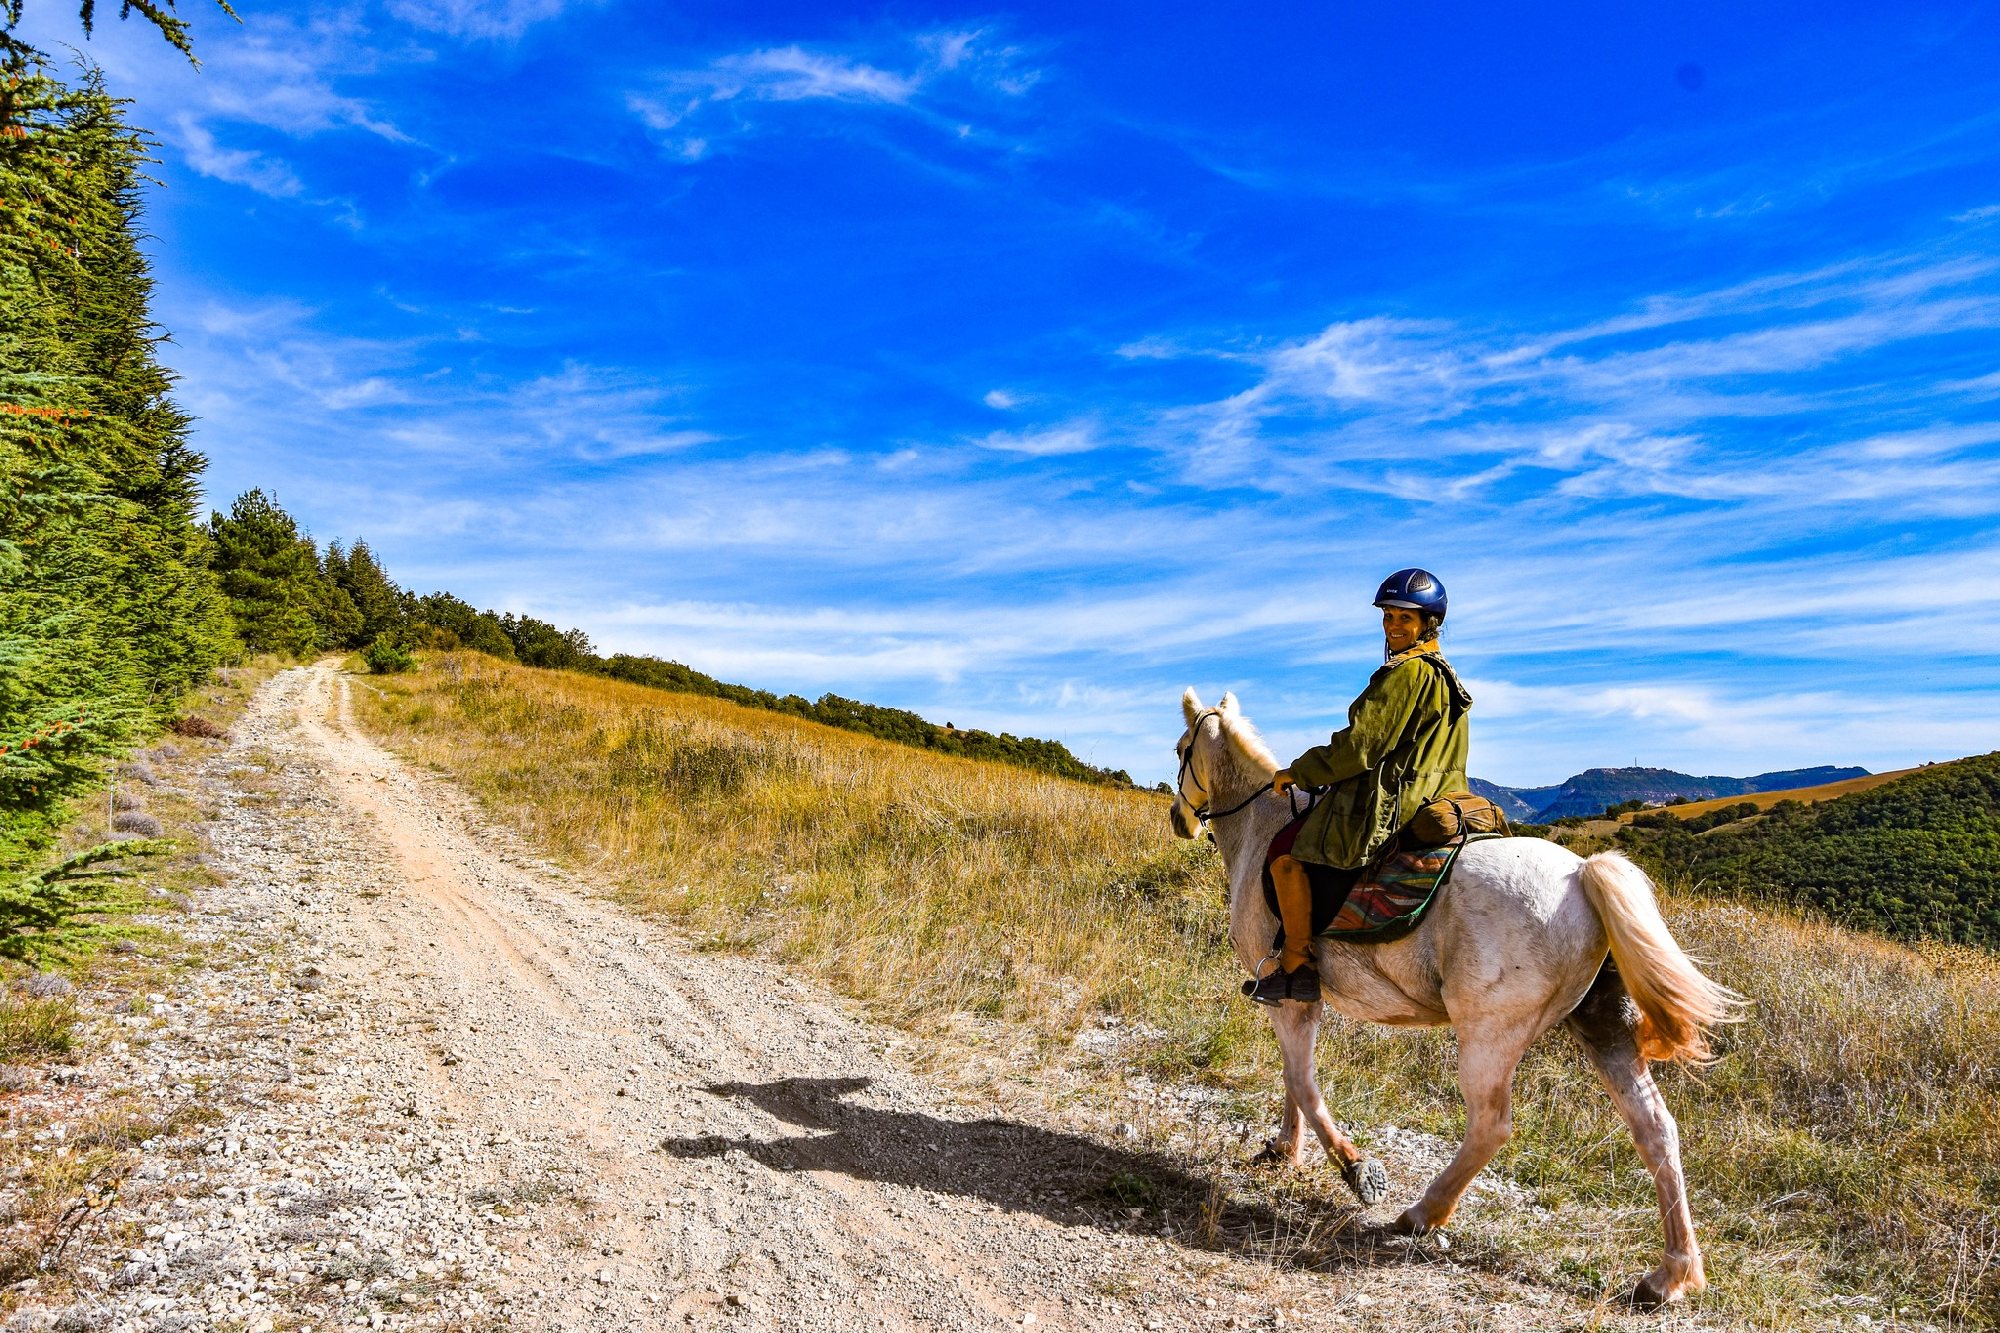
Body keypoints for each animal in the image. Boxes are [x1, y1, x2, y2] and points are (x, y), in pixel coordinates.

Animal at [1168, 688, 1744, 1304]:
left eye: (1182, 748)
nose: (1180, 819)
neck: (1262, 827)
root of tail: (1583, 876)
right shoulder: (1300, 1003)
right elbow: (1292, 1079)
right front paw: (1285, 1149)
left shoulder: (1289, 996)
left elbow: (1301, 1080)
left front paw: (1355, 1168)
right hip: (1604, 1030)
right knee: (1656, 1130)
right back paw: (1670, 1275)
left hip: (1490, 1036)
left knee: (1491, 1126)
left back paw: (1422, 1213)